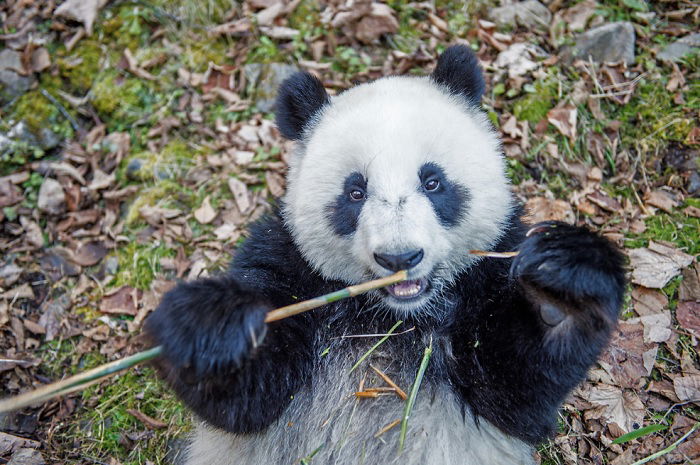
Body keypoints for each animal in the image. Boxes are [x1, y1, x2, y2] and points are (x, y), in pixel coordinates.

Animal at [145, 44, 628, 464]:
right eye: (355, 192)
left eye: (433, 182)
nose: (399, 258)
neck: (393, 317)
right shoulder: (287, 264)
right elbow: (248, 402)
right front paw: (215, 329)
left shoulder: (491, 269)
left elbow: (516, 391)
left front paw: (559, 293)